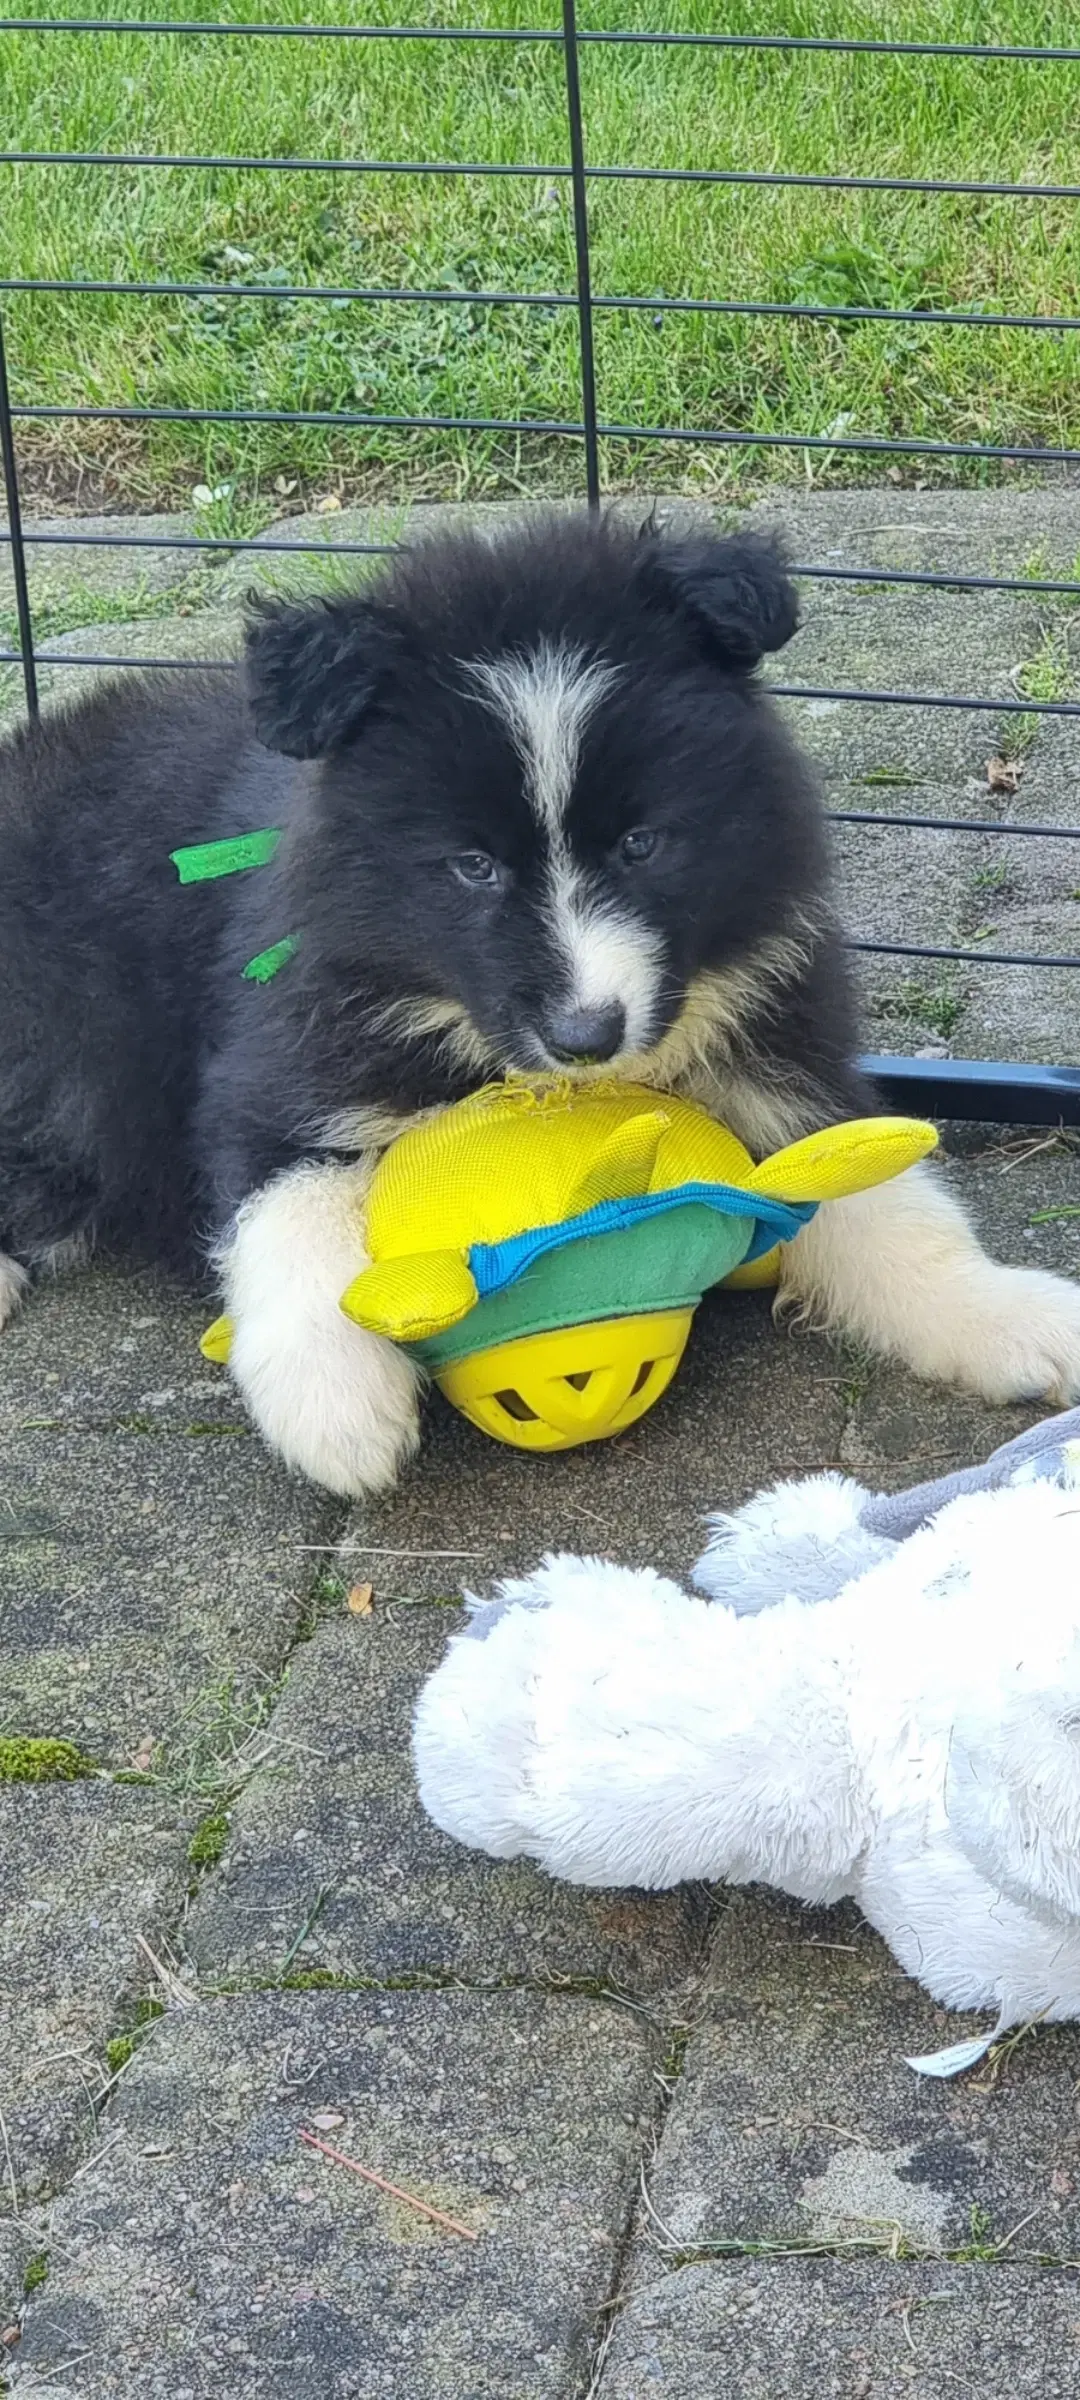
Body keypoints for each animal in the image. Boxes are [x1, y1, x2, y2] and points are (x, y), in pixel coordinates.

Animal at [2, 508, 1080, 1488]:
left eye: (642, 843)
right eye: (472, 865)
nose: (585, 1035)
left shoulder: (777, 1042)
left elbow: (884, 1197)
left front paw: (1010, 1317)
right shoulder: (290, 1047)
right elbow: (285, 1203)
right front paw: (339, 1409)